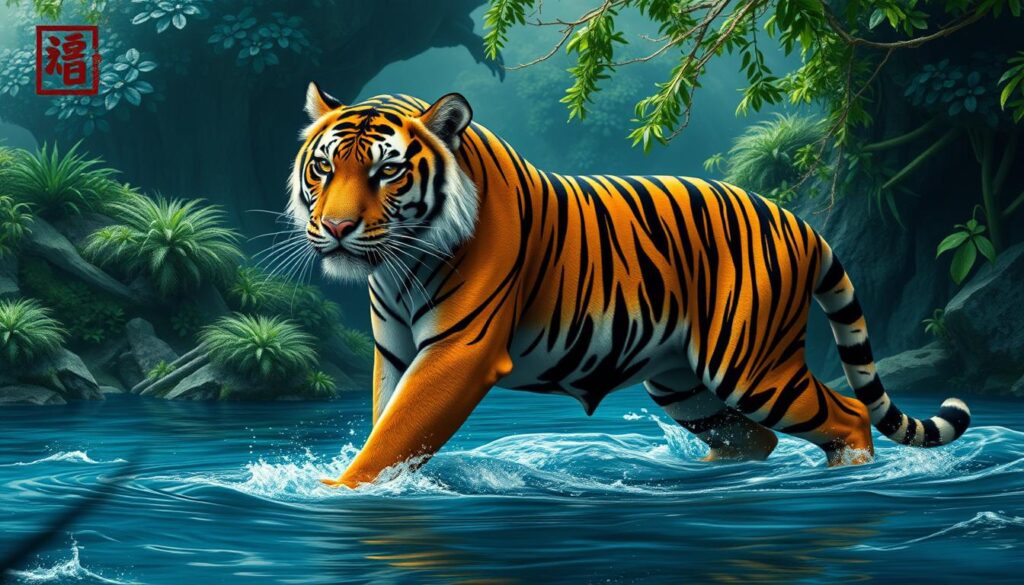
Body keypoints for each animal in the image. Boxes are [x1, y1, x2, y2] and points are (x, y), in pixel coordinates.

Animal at [289, 83, 972, 488]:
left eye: (387, 172)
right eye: (324, 167)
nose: (338, 228)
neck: (398, 265)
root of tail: (800, 222)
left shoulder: (459, 353)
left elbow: (396, 432)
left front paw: (331, 493)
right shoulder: (395, 351)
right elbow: (390, 424)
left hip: (750, 368)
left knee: (848, 414)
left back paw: (853, 478)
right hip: (681, 382)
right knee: (755, 436)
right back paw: (686, 474)